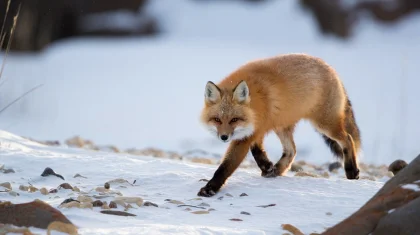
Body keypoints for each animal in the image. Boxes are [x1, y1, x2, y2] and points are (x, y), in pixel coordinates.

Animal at [197, 52, 360, 196]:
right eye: (217, 119)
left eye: (234, 120)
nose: (224, 137)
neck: (255, 104)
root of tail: (331, 69)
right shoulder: (256, 128)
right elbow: (256, 150)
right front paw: (267, 167)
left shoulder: (248, 134)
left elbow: (225, 167)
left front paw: (210, 189)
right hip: (282, 126)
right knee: (292, 150)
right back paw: (277, 170)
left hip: (324, 125)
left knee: (348, 139)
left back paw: (352, 171)